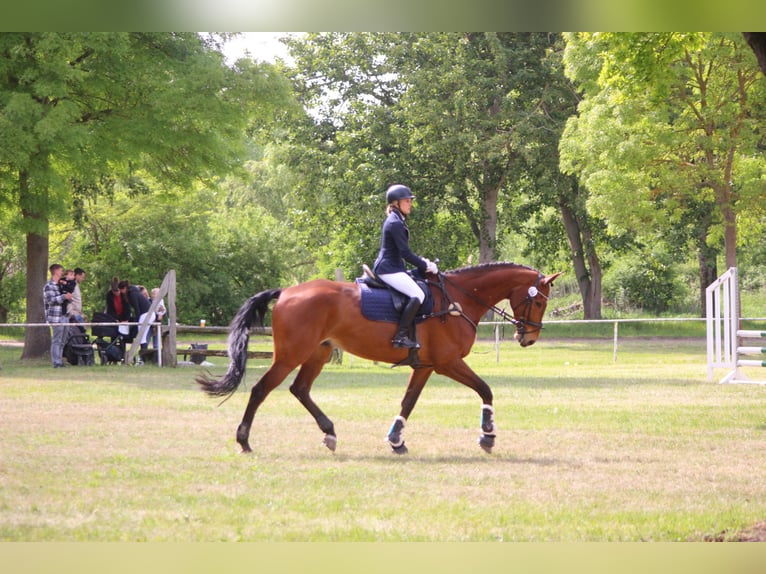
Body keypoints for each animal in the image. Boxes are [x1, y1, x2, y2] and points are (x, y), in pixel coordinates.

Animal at [197, 263, 562, 454]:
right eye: (539, 301)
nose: (528, 338)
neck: (457, 300)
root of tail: (287, 291)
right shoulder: (448, 363)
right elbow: (486, 389)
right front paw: (487, 434)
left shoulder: (426, 366)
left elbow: (408, 402)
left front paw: (396, 439)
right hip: (291, 354)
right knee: (261, 390)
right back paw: (244, 441)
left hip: (319, 352)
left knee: (299, 389)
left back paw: (329, 432)